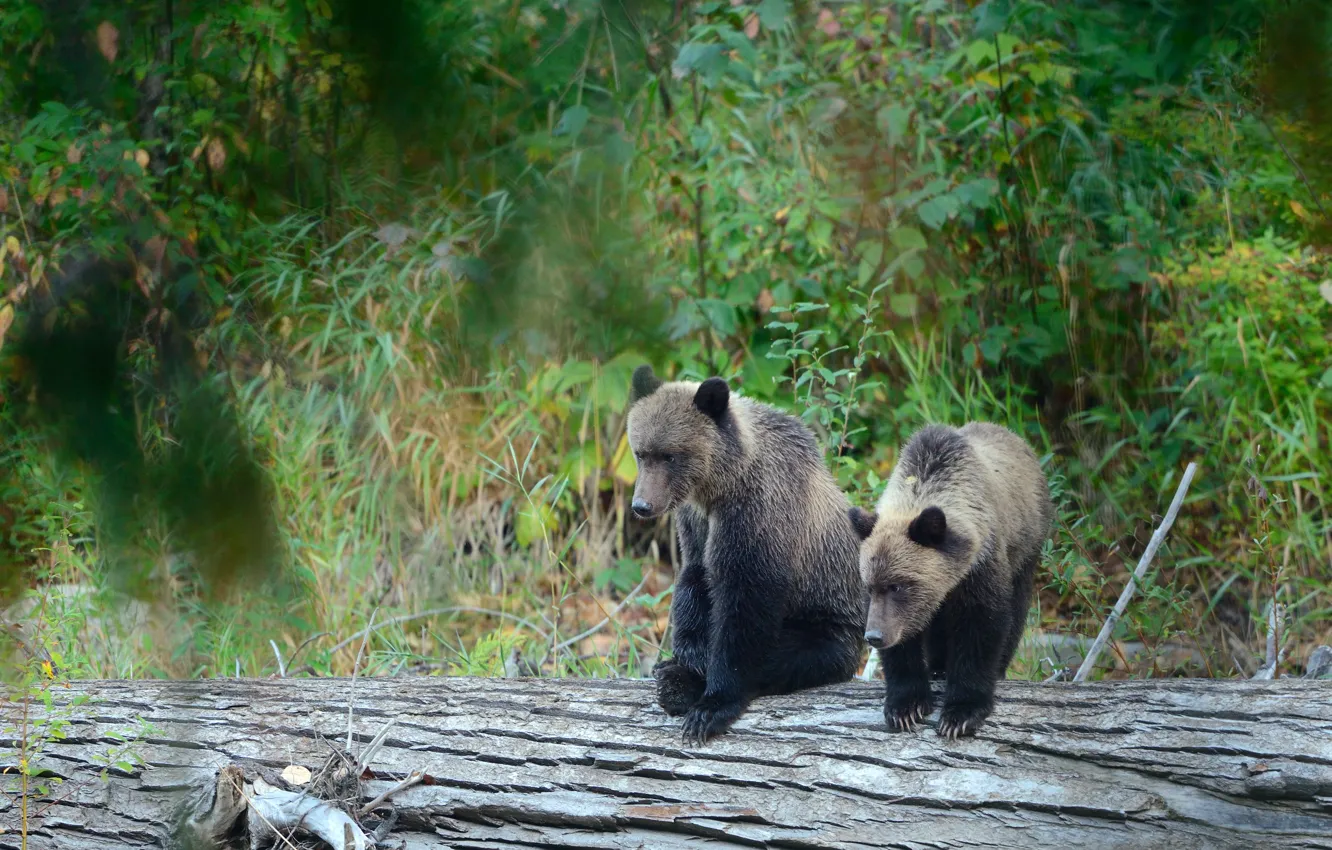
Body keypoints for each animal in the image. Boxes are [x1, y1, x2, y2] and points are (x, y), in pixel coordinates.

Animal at [626, 365, 866, 744]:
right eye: (641, 453)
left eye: (670, 455)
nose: (642, 505)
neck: (718, 485)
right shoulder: (696, 520)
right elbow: (695, 574)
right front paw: (687, 655)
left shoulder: (758, 512)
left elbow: (746, 601)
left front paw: (711, 707)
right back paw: (670, 676)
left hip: (830, 622)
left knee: (790, 654)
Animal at [848, 421, 1053, 739]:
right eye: (870, 587)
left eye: (898, 585)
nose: (874, 636)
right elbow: (905, 644)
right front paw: (905, 706)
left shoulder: (981, 569)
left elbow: (982, 629)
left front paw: (961, 713)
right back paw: (938, 667)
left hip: (1026, 546)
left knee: (1018, 609)